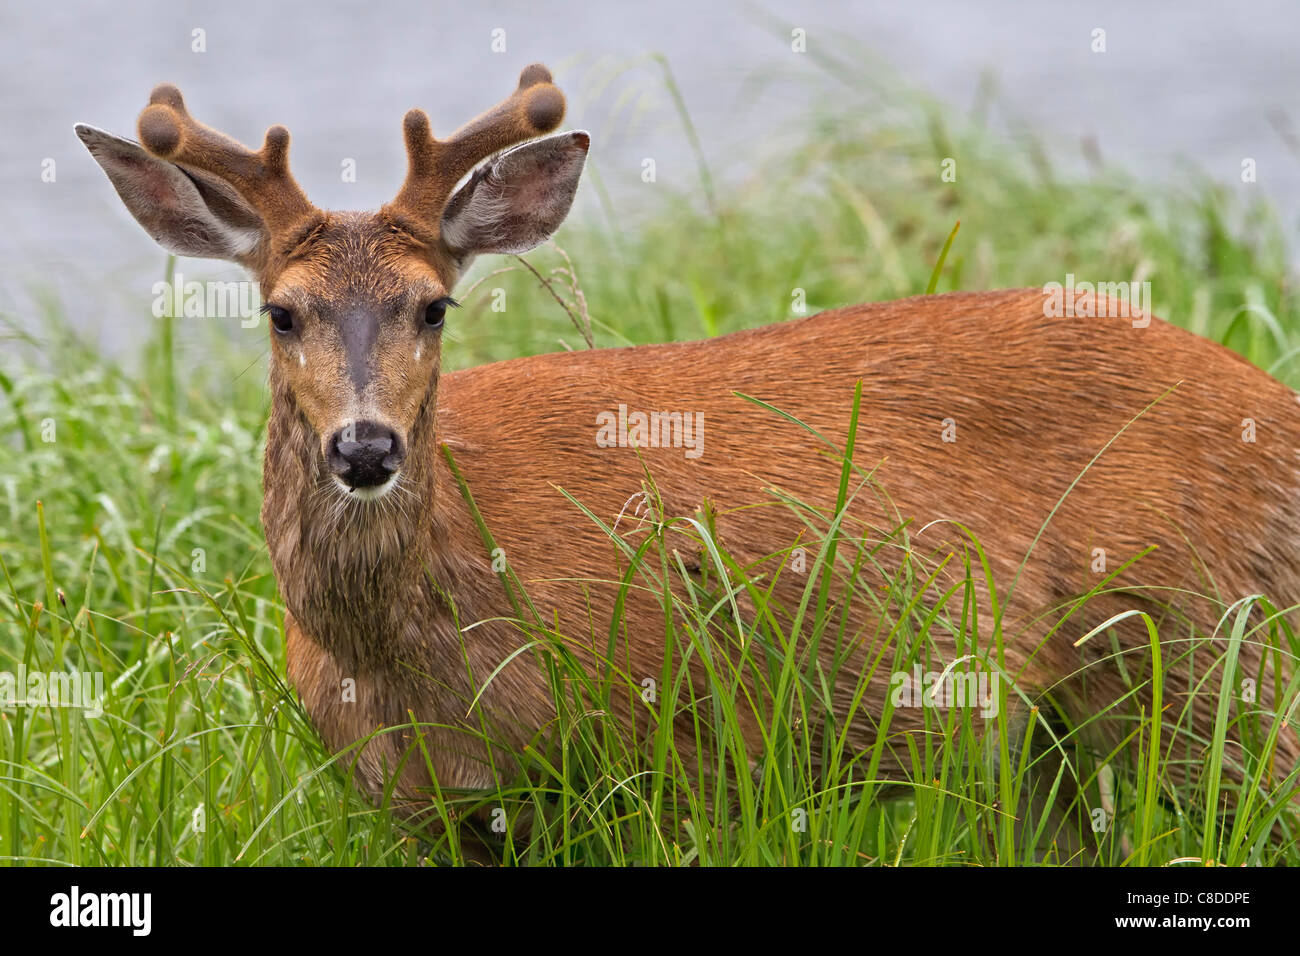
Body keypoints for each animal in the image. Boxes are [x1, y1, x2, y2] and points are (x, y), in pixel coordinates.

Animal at [78, 63, 1300, 848]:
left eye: (433, 304)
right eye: (282, 311)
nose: (367, 446)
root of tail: (1276, 410)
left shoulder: (672, 754)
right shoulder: (417, 811)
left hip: (1216, 658)